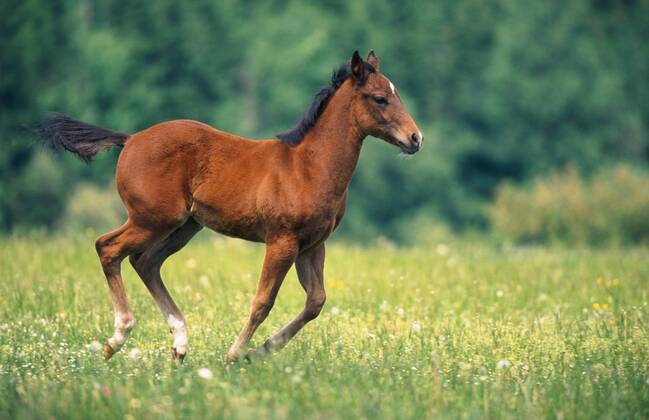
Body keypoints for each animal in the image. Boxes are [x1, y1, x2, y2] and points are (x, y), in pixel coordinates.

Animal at [38, 50, 423, 363]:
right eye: (380, 98)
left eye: (397, 94)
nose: (416, 138)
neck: (308, 166)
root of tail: (130, 139)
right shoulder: (282, 241)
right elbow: (263, 300)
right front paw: (236, 354)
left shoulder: (313, 244)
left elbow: (316, 302)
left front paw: (262, 350)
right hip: (154, 219)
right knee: (108, 247)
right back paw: (118, 338)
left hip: (184, 226)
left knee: (145, 262)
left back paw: (179, 344)